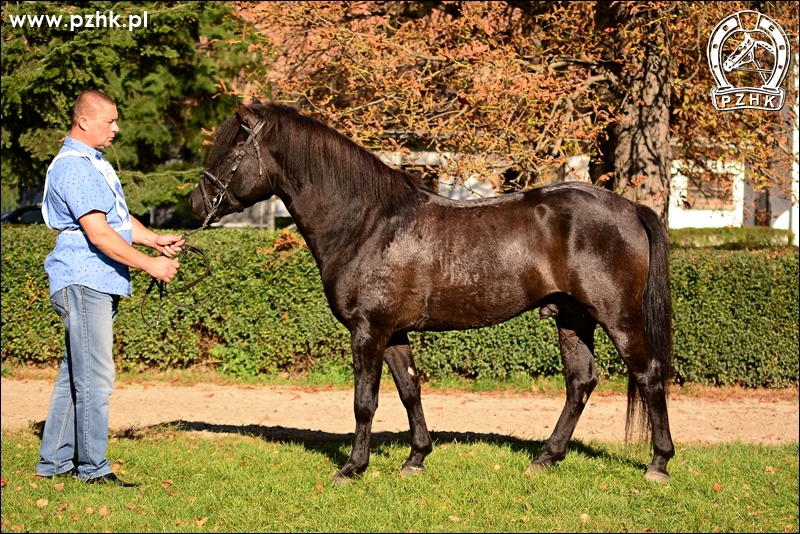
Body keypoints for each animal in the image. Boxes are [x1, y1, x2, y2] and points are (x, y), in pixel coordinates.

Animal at [189, 100, 676, 486]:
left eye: (232, 151)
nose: (196, 203)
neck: (368, 223)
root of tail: (629, 208)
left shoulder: (368, 330)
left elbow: (364, 401)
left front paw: (353, 468)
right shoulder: (393, 332)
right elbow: (410, 390)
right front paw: (416, 459)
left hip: (618, 317)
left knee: (649, 375)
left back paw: (658, 464)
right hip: (573, 319)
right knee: (580, 382)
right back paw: (545, 459)